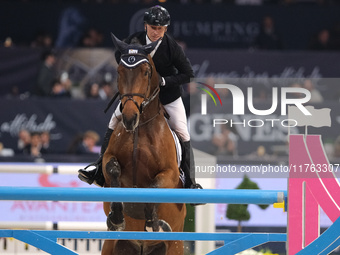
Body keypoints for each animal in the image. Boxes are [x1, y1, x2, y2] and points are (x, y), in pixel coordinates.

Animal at [101, 33, 186, 255]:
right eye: (119, 72)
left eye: (146, 72)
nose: (130, 118)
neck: (141, 128)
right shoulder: (108, 158)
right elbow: (113, 170)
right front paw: (116, 218)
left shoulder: (170, 173)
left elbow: (154, 187)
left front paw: (153, 223)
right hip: (111, 245)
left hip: (175, 245)